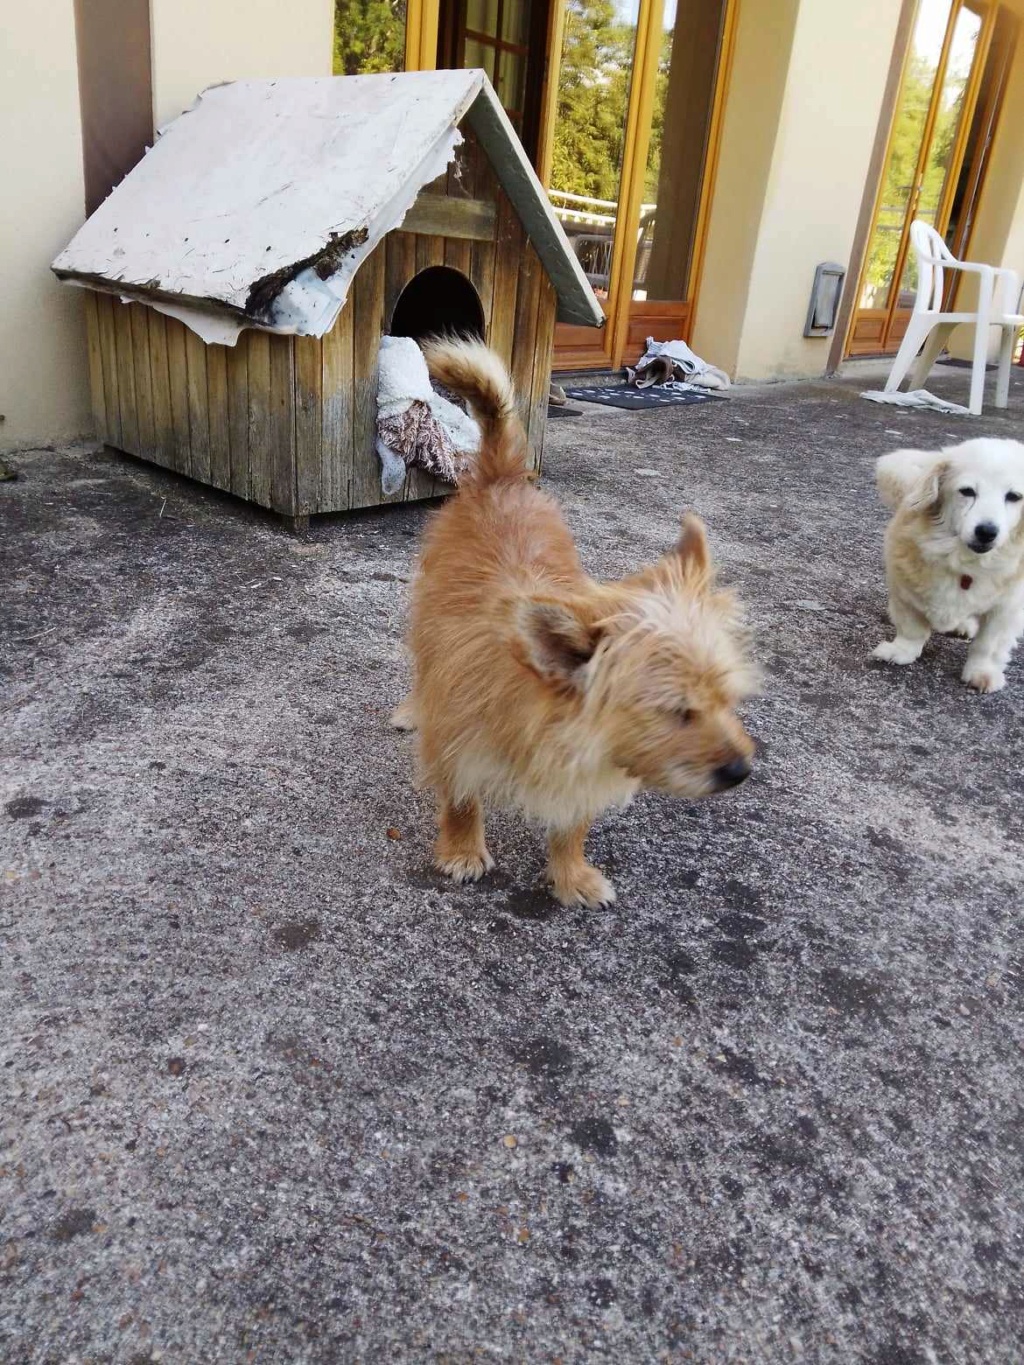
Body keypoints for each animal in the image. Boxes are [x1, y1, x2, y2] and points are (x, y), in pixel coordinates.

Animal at [395, 335, 764, 906]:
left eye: (728, 699)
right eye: (675, 711)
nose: (742, 771)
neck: (534, 710)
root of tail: (502, 479)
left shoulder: (586, 766)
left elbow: (572, 823)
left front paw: (570, 873)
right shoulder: (456, 740)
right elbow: (460, 798)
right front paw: (461, 849)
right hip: (426, 620)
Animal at [873, 436, 1024, 693]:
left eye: (1014, 496)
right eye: (967, 491)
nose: (986, 532)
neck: (965, 562)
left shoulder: (1007, 608)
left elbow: (988, 644)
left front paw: (982, 672)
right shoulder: (904, 591)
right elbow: (911, 629)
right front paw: (900, 652)